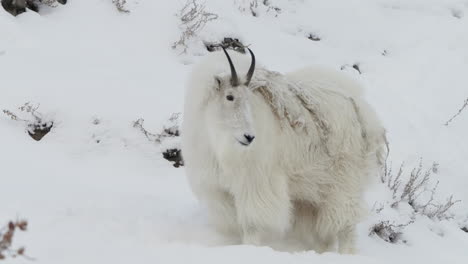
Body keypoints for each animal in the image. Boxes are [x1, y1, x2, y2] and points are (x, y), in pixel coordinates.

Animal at [181, 47, 386, 254]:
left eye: (249, 99)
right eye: (229, 96)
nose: (249, 137)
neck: (217, 140)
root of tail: (358, 106)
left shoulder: (255, 184)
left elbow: (251, 223)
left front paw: (250, 247)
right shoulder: (218, 189)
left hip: (345, 181)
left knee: (346, 223)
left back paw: (346, 252)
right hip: (313, 191)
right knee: (324, 231)